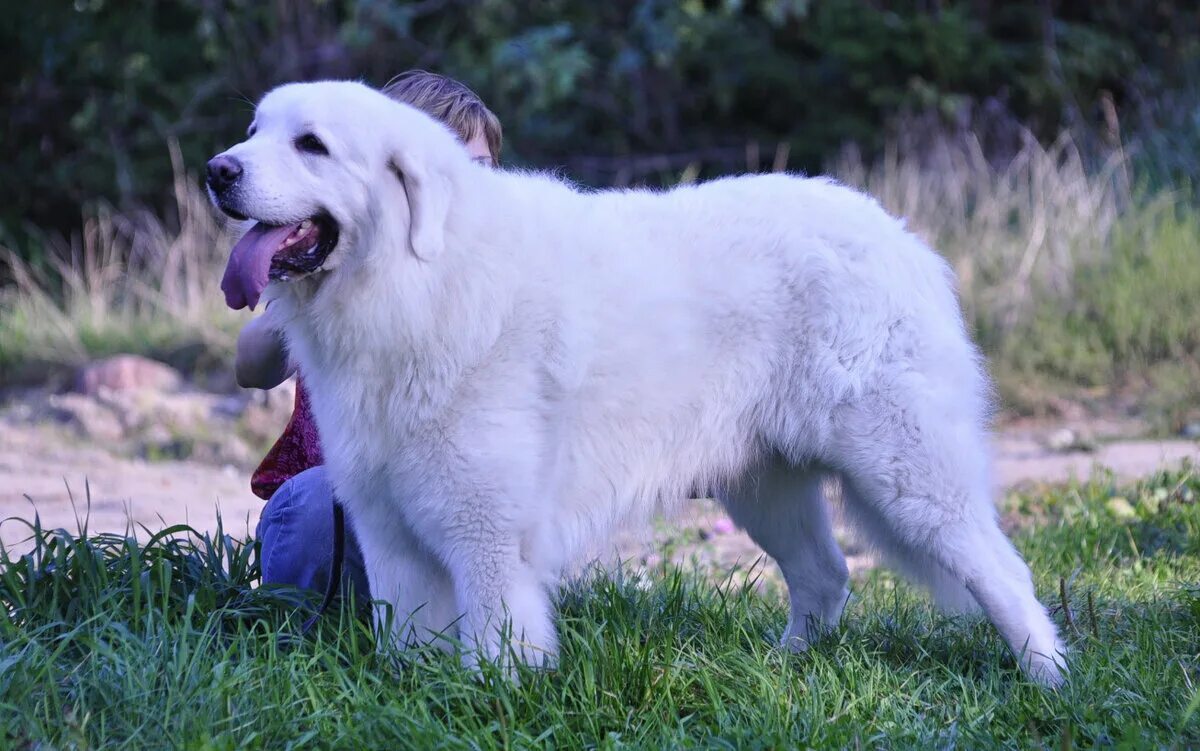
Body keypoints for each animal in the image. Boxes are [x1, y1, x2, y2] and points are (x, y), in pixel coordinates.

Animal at [208, 79, 1070, 681]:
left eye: (312, 144)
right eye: (253, 132)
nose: (219, 170)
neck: (414, 279)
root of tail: (899, 234)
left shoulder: (486, 533)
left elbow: (493, 644)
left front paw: (486, 700)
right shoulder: (388, 528)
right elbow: (407, 643)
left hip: (907, 473)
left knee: (1002, 570)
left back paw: (1048, 680)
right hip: (765, 485)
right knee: (826, 577)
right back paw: (785, 666)